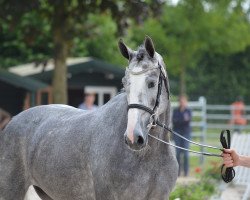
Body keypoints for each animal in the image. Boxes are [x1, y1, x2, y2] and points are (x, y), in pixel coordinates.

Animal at [0, 36, 178, 199]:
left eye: (151, 83)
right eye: (125, 83)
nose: (133, 137)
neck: (146, 157)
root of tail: (12, 121)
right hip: (11, 191)